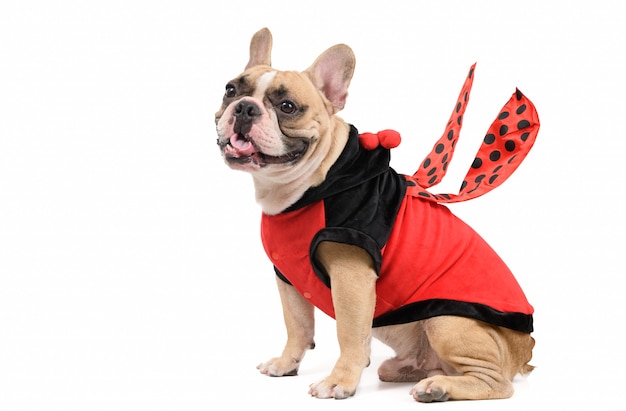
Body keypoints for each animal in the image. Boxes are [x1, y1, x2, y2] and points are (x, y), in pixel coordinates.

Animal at [214, 26, 536, 402]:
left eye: (287, 106)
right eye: (230, 90)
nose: (245, 108)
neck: (311, 185)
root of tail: (525, 351)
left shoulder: (350, 277)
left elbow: (349, 334)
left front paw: (339, 381)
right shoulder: (288, 279)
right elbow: (297, 325)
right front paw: (285, 364)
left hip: (447, 320)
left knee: (495, 383)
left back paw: (439, 388)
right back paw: (410, 370)